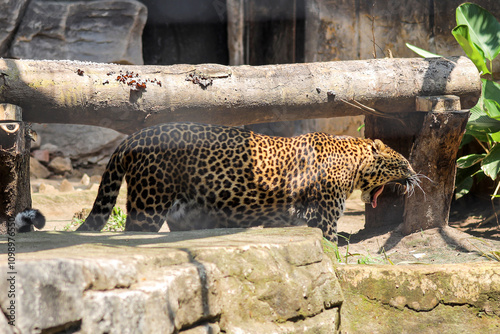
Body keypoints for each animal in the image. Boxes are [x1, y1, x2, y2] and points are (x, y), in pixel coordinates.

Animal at [77, 121, 422, 241]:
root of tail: (134, 136)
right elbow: (331, 248)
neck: (354, 161)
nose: (415, 176)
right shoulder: (323, 219)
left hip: (183, 214)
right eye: (404, 162)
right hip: (148, 206)